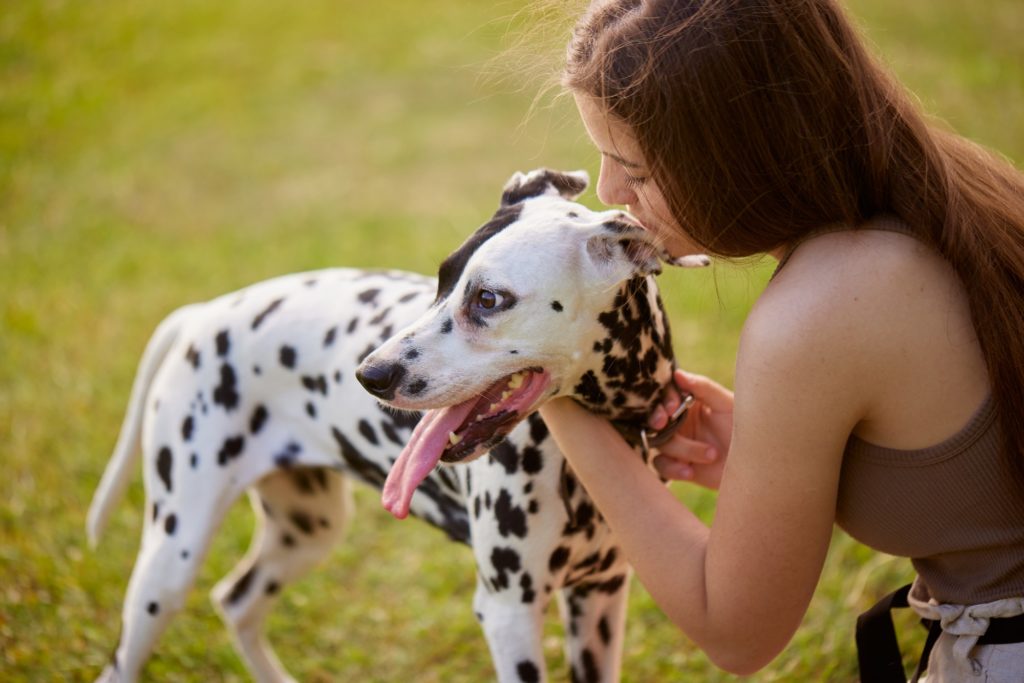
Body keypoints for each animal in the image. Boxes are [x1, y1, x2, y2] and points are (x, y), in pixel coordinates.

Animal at [88, 166, 708, 683]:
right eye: (441, 280)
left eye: (488, 299)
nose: (370, 374)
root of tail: (204, 314)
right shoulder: (509, 611)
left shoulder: (600, 600)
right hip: (169, 562)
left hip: (307, 528)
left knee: (236, 602)